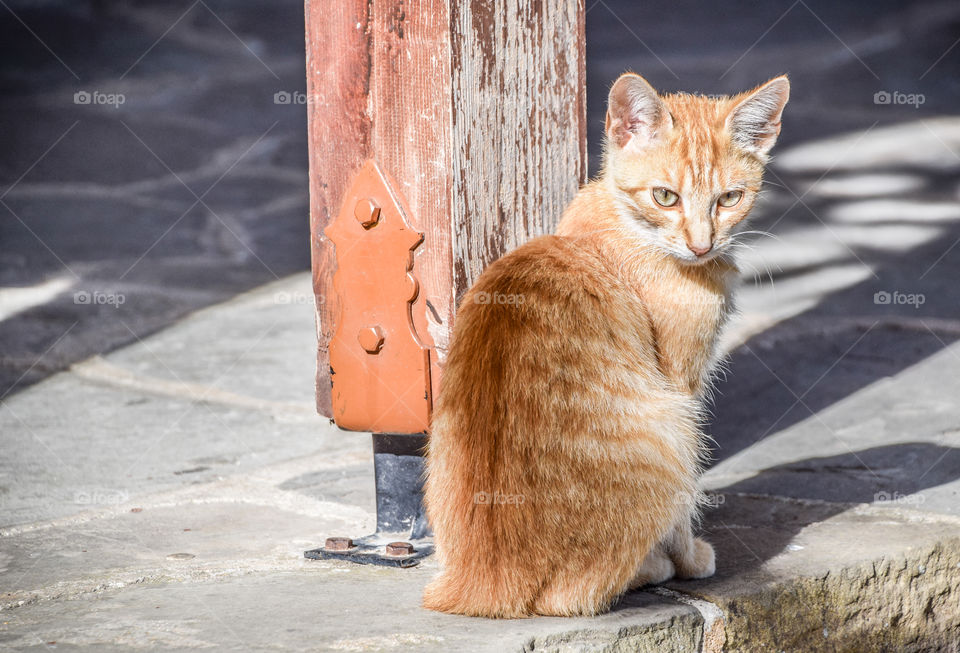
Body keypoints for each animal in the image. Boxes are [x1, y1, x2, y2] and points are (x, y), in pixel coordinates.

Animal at [424, 72, 792, 616]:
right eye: (665, 196)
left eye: (729, 199)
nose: (702, 246)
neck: (620, 225)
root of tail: (482, 581)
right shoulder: (682, 385)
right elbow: (685, 505)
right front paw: (689, 556)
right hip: (672, 429)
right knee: (569, 596)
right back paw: (652, 567)